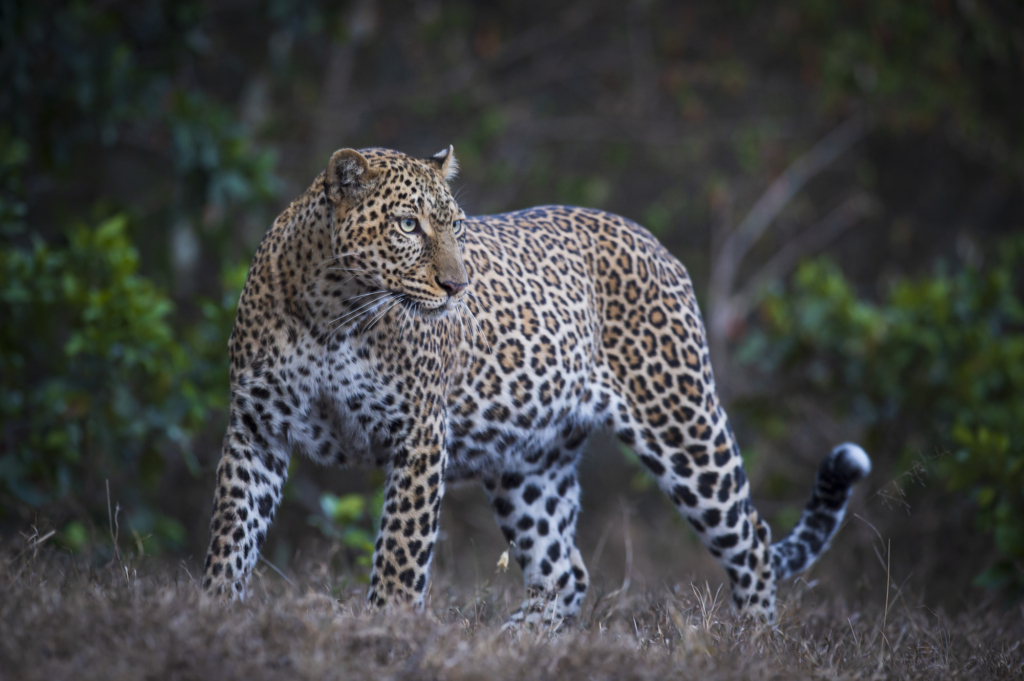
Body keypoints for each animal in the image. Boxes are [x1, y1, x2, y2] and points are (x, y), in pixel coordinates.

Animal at [201, 143, 872, 622]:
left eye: (457, 226)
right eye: (408, 225)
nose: (458, 286)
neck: (333, 309)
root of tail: (652, 240)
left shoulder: (417, 436)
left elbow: (399, 556)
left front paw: (384, 635)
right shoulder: (257, 428)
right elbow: (232, 532)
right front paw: (213, 617)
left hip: (683, 424)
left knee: (752, 541)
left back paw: (753, 643)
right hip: (530, 461)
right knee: (563, 573)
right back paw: (508, 645)